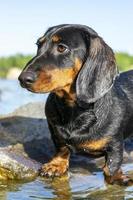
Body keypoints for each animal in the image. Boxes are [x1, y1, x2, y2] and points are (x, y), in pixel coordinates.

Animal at [18, 24, 133, 186]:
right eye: (38, 45)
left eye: (61, 48)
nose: (22, 79)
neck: (75, 110)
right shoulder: (55, 131)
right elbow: (61, 147)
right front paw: (56, 165)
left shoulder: (115, 143)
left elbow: (111, 166)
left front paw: (118, 177)